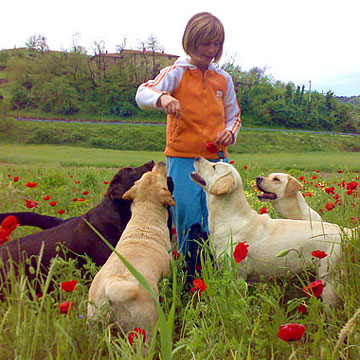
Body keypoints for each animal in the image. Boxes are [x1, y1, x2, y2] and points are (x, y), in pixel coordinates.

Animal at [88, 162, 176, 338]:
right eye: (162, 178)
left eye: (146, 174)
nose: (160, 163)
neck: (145, 216)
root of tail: (110, 286)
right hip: (144, 327)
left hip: (95, 325)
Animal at [191, 156, 352, 306]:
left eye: (214, 166)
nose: (197, 157)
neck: (230, 217)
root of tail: (346, 231)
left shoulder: (238, 277)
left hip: (329, 281)